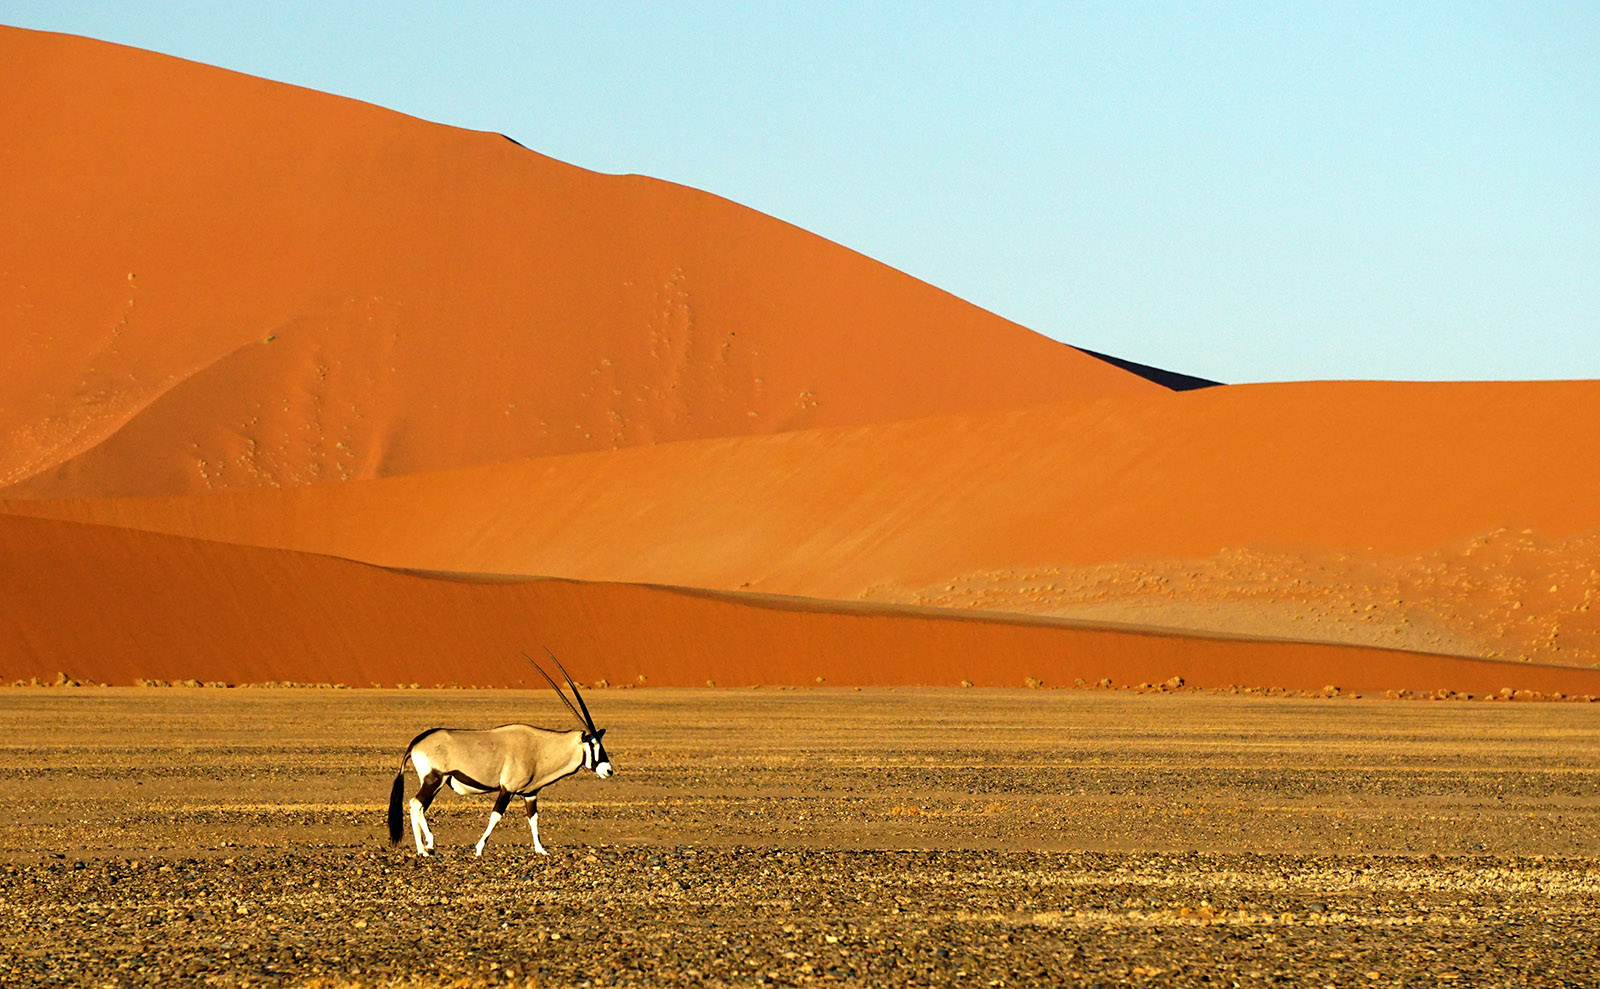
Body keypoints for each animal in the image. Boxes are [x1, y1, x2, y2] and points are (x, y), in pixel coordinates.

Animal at [387, 650, 613, 857]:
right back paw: (424, 848)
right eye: (593, 744)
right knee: (416, 804)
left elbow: (533, 819)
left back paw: (427, 846)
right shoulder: (507, 788)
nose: (609, 770)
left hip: (436, 783)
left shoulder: (530, 793)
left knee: (419, 807)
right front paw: (478, 849)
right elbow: (496, 816)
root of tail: (416, 742)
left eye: (601, 743)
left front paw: (541, 850)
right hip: (434, 779)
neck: (539, 747)